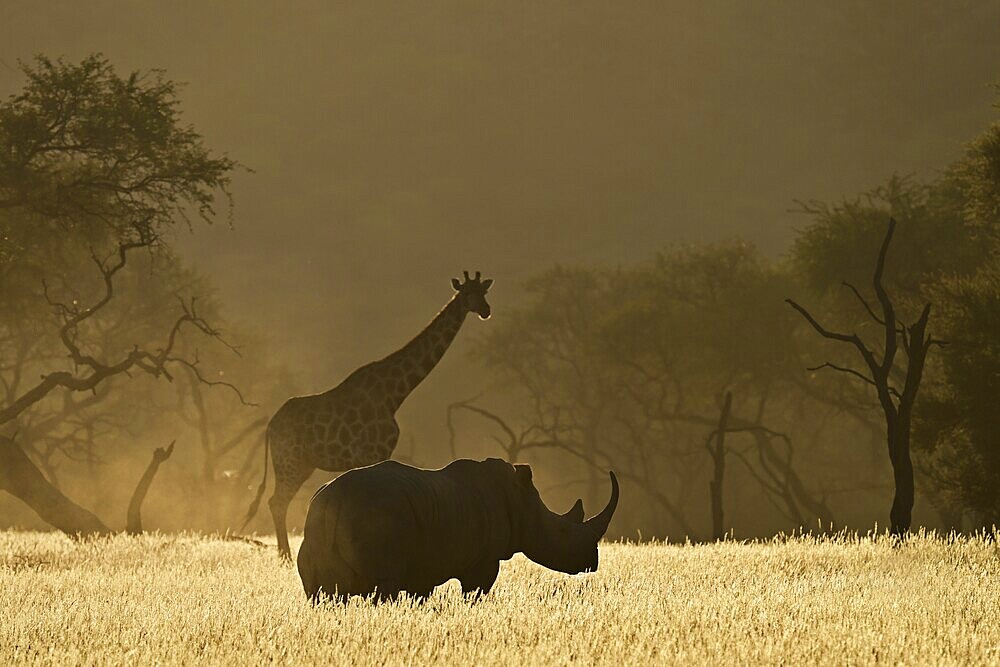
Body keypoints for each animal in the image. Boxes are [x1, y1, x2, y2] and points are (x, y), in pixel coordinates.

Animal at [242, 272, 492, 560]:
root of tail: (271, 426)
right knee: (277, 502)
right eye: (467, 294)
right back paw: (285, 556)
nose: (486, 310)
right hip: (289, 462)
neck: (394, 393)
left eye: (484, 292)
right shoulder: (373, 452)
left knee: (277, 501)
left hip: (303, 464)